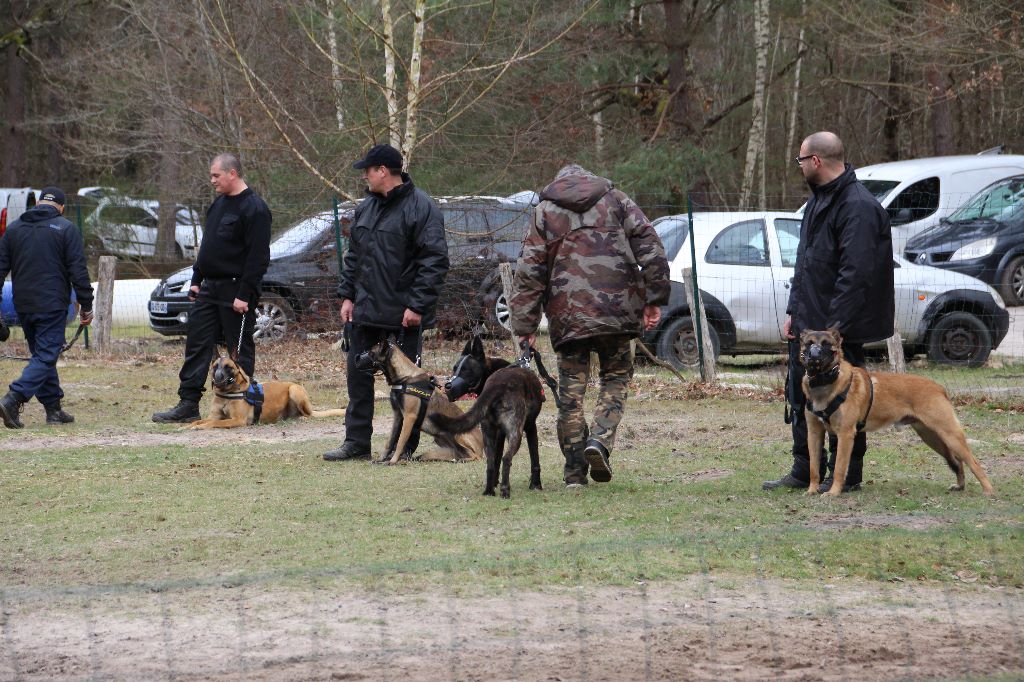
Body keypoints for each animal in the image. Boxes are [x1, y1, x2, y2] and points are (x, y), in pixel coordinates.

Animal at [185, 352, 344, 428]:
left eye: (228, 367)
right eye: (215, 367)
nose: (218, 378)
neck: (226, 394)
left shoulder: (237, 420)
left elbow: (215, 423)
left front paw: (202, 427)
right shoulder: (214, 416)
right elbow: (198, 421)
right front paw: (187, 426)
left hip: (294, 389)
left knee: (308, 414)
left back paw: (303, 417)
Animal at [352, 337, 483, 464]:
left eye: (371, 353)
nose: (356, 358)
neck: (404, 378)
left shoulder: (409, 417)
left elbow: (400, 442)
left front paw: (393, 461)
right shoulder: (398, 416)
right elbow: (390, 441)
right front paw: (381, 459)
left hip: (456, 434)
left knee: (474, 455)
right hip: (440, 438)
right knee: (459, 453)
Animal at [425, 337, 548, 497]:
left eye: (465, 370)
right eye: (455, 369)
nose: (447, 386)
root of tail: (496, 386)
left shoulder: (499, 433)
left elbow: (496, 460)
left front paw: (495, 483)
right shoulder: (530, 427)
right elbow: (535, 460)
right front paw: (536, 484)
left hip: (488, 433)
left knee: (490, 462)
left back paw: (489, 491)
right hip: (516, 433)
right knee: (506, 459)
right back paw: (505, 490)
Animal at [798, 327, 991, 493]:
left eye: (826, 344)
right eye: (808, 343)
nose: (814, 354)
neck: (824, 382)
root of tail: (938, 387)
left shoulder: (845, 434)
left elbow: (839, 467)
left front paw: (833, 492)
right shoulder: (814, 433)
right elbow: (814, 467)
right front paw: (812, 490)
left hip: (949, 435)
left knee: (973, 462)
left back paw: (989, 491)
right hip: (933, 437)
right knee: (958, 462)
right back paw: (960, 485)